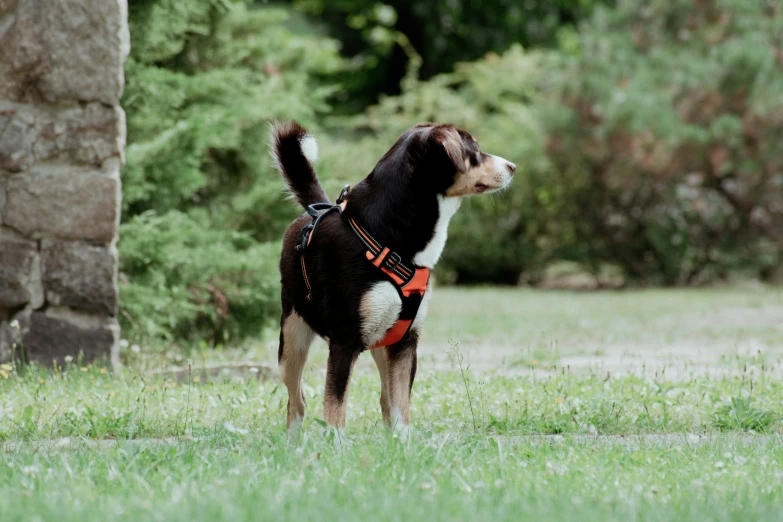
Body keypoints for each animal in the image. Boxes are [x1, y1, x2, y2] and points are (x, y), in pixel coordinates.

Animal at [270, 120, 516, 432]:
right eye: (474, 150)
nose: (513, 166)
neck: (383, 240)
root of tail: (315, 212)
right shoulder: (343, 343)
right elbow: (335, 412)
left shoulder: (405, 343)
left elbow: (401, 409)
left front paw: (402, 443)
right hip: (292, 339)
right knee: (296, 402)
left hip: (382, 343)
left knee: (384, 400)